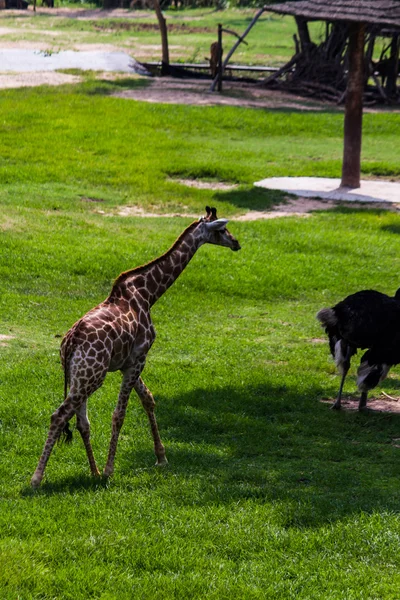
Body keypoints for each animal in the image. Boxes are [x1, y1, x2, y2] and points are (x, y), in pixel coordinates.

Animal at [31, 206, 241, 488]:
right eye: (222, 229)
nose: (236, 243)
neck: (149, 293)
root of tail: (69, 343)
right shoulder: (139, 358)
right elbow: (119, 414)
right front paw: (110, 471)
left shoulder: (128, 362)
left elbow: (148, 399)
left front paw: (161, 458)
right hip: (92, 376)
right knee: (59, 415)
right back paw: (37, 478)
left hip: (80, 375)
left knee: (81, 420)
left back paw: (92, 472)